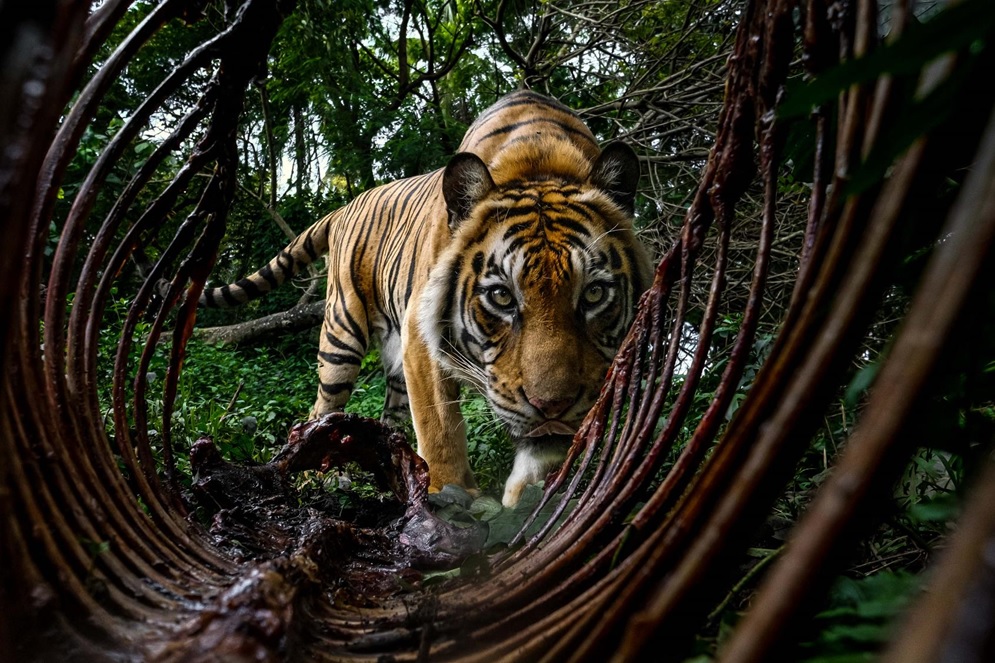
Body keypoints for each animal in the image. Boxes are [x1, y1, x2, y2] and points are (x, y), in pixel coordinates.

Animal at [200, 91, 652, 508]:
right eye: (502, 297)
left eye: (594, 293)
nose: (553, 406)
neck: (539, 159)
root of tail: (345, 205)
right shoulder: (423, 339)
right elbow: (440, 426)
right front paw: (450, 495)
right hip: (342, 340)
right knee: (321, 412)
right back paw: (316, 478)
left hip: (395, 362)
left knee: (390, 414)